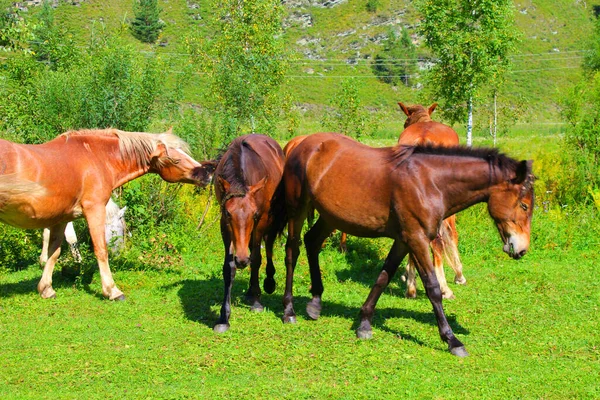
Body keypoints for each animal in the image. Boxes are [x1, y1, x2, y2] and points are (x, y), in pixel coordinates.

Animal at [0, 128, 216, 300]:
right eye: (176, 159)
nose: (208, 173)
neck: (93, 157)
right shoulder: (94, 210)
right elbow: (100, 250)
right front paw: (112, 290)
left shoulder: (61, 218)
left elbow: (55, 251)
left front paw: (46, 288)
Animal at [212, 133, 288, 332]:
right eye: (228, 214)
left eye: (253, 215)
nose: (241, 259)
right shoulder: (225, 226)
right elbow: (228, 267)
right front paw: (223, 317)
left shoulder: (261, 220)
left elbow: (256, 258)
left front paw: (256, 301)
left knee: (268, 244)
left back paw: (267, 282)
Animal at [282, 132, 536, 356]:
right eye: (524, 205)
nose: (521, 249)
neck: (429, 182)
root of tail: (302, 144)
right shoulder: (417, 239)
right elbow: (433, 288)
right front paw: (452, 340)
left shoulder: (403, 241)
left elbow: (383, 278)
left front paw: (364, 323)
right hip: (297, 210)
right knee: (292, 252)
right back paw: (288, 311)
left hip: (329, 217)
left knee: (312, 242)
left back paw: (315, 302)